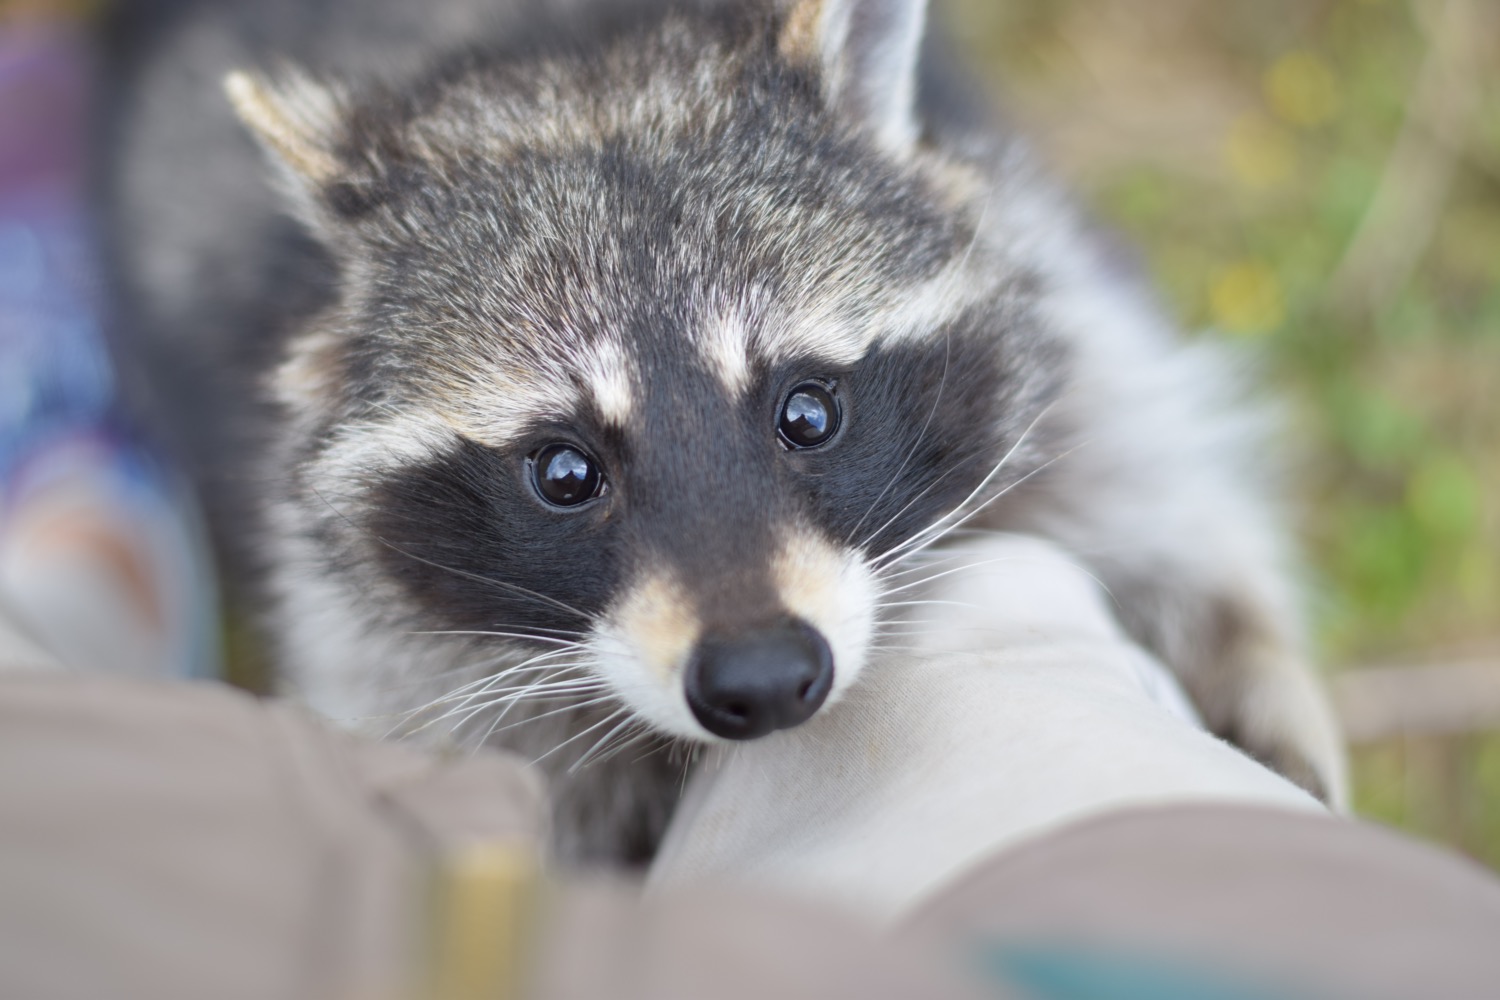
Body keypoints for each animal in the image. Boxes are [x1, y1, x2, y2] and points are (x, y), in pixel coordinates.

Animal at [102, 0, 1350, 863]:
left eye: (808, 410)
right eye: (564, 470)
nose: (762, 678)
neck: (563, 71)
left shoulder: (1051, 296)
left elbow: (1142, 467)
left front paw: (1247, 661)